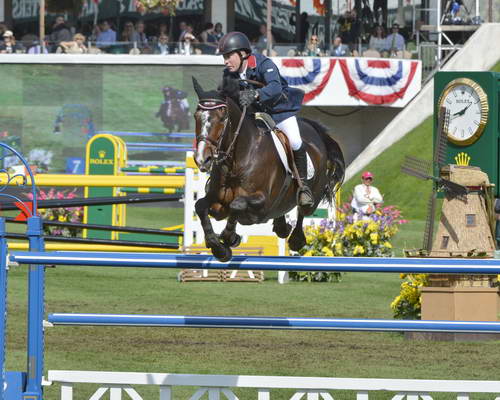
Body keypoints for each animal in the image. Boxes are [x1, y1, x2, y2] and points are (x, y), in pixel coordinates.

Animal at [191, 76, 344, 260]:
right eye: (196, 116)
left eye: (222, 117)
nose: (202, 159)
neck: (238, 160)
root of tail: (314, 129)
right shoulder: (217, 203)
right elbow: (200, 206)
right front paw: (218, 247)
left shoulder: (263, 201)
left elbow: (237, 205)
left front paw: (229, 238)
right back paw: (281, 227)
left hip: (313, 192)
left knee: (303, 208)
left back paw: (296, 238)